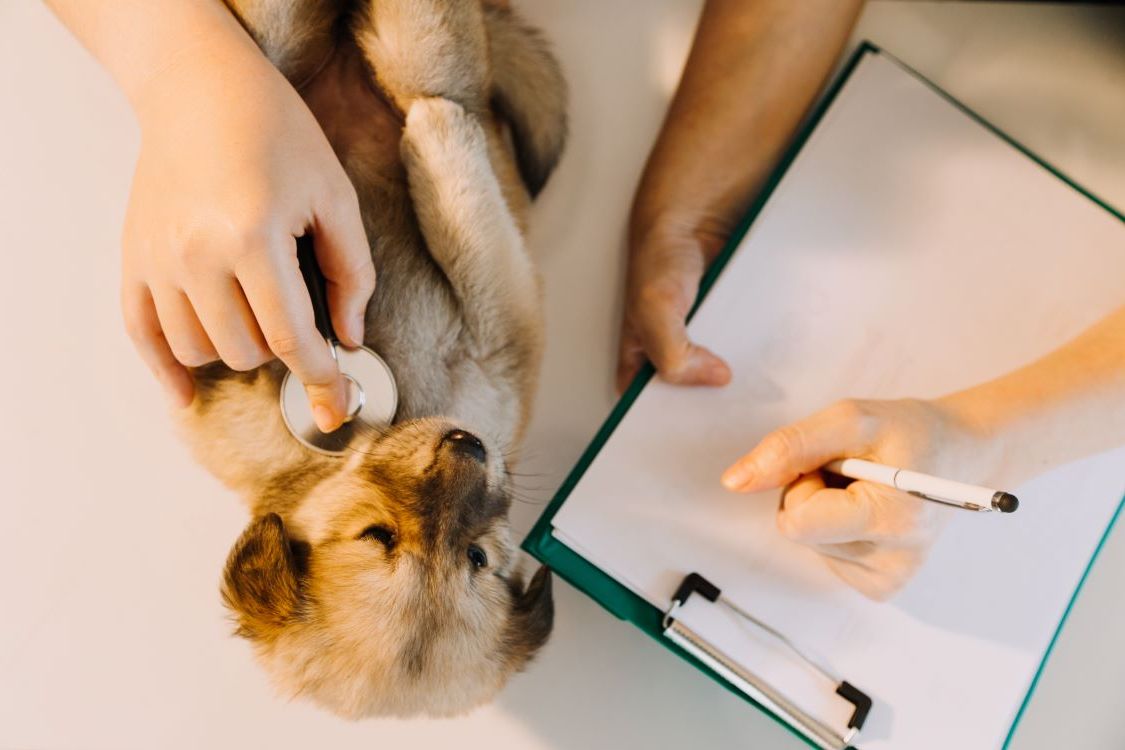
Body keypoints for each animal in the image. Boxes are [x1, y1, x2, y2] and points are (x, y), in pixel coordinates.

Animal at [180, 0, 567, 719]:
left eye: (475, 558)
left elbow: (445, 140)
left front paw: (430, 125)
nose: (469, 446)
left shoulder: (501, 325)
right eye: (378, 537)